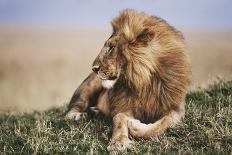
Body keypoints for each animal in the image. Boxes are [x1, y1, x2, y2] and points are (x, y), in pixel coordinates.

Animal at [65, 10, 190, 152]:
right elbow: (119, 119)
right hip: (89, 86)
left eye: (111, 48)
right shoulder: (125, 106)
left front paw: (134, 126)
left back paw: (96, 112)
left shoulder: (176, 109)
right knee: (73, 108)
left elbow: (162, 124)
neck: (144, 82)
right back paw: (79, 115)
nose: (94, 68)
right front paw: (119, 142)